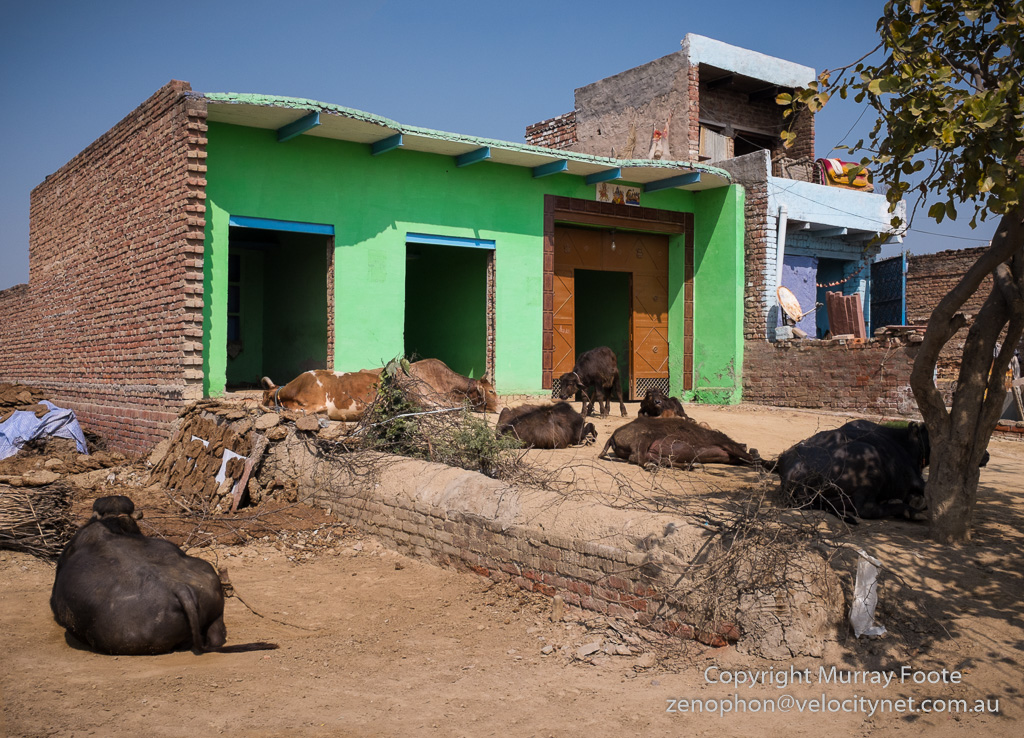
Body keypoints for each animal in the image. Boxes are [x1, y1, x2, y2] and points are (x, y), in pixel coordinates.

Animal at [599, 416, 757, 468]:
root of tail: (613, 435)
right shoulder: (725, 442)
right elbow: (748, 456)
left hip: (652, 450)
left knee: (660, 459)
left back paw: (689, 466)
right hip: (645, 438)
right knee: (636, 456)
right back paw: (651, 467)